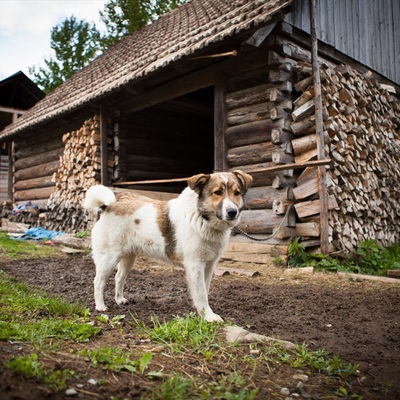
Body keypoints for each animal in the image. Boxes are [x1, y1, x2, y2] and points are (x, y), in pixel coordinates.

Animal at [83, 169, 253, 322]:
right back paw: (100, 306)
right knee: (98, 281)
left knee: (119, 278)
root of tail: (110, 204)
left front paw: (202, 313)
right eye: (218, 192)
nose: (232, 212)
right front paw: (208, 316)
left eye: (236, 193)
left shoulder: (209, 265)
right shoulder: (195, 265)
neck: (201, 217)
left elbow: (204, 290)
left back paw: (120, 299)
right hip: (109, 258)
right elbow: (201, 293)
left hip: (128, 258)